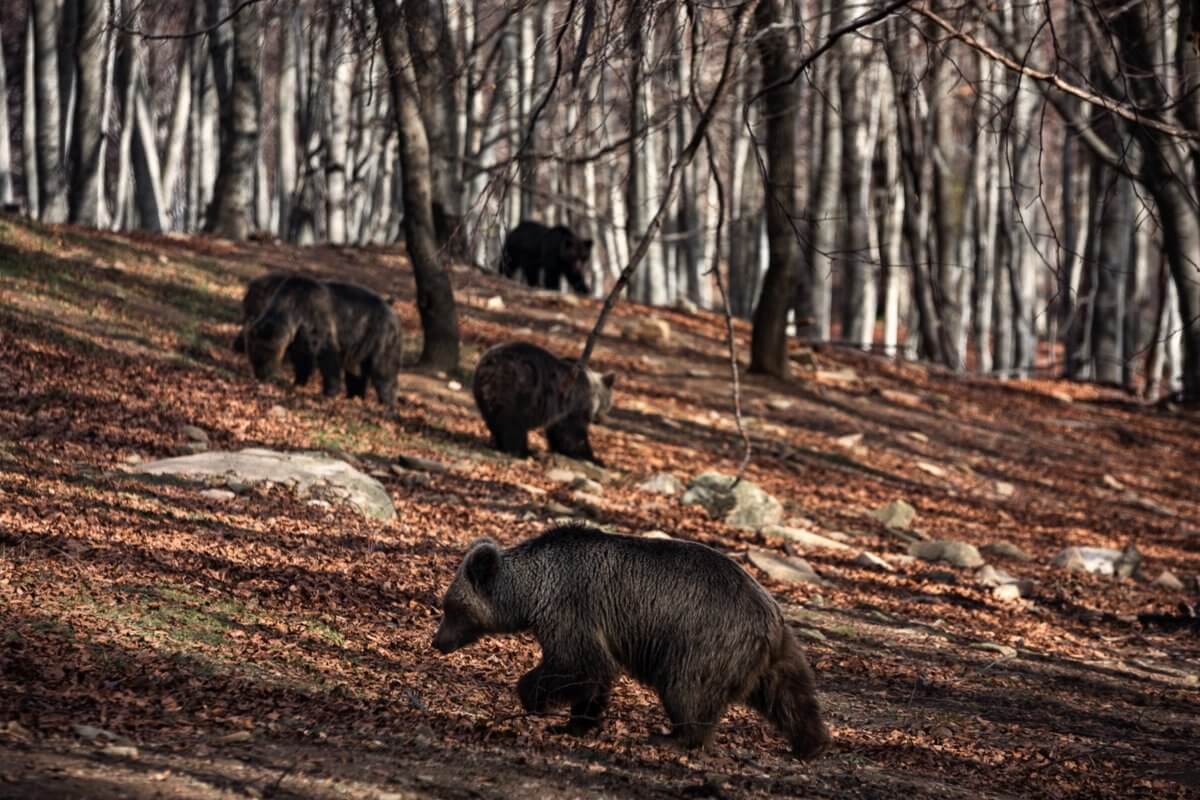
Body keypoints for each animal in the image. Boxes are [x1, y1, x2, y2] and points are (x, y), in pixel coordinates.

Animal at [432, 522, 835, 762]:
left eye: (451, 606)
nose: (437, 642)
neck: (532, 591)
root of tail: (770, 617)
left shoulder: (571, 607)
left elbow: (579, 664)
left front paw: (536, 700)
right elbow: (593, 677)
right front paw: (576, 722)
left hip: (703, 642)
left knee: (687, 691)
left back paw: (672, 738)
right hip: (777, 654)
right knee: (792, 696)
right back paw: (811, 743)